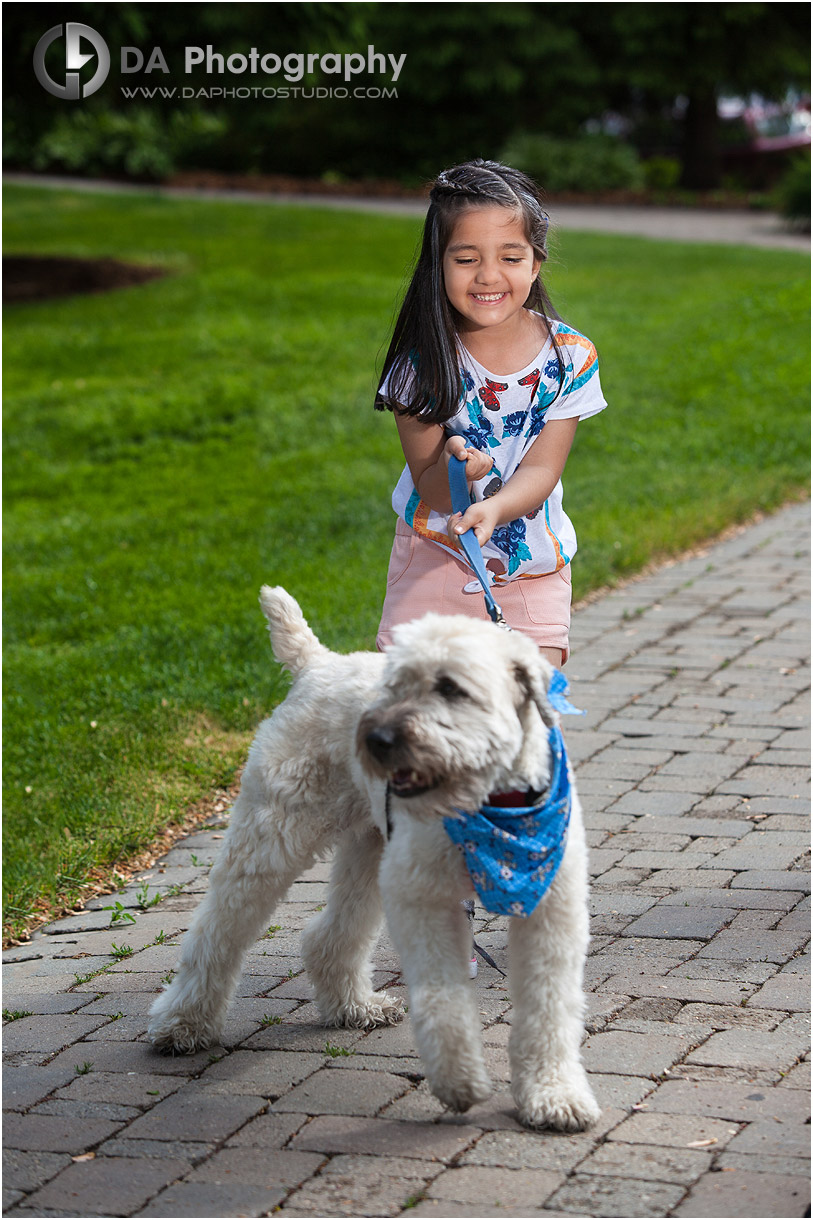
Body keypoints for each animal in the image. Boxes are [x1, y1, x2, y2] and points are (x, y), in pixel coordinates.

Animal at [148, 585, 598, 1127]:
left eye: (451, 687)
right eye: (394, 683)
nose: (377, 739)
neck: (493, 806)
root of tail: (316, 662)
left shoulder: (551, 912)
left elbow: (549, 1007)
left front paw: (553, 1094)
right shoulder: (425, 904)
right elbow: (444, 1001)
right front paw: (460, 1081)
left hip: (369, 852)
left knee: (330, 937)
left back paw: (354, 1007)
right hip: (269, 842)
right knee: (215, 935)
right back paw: (183, 1026)